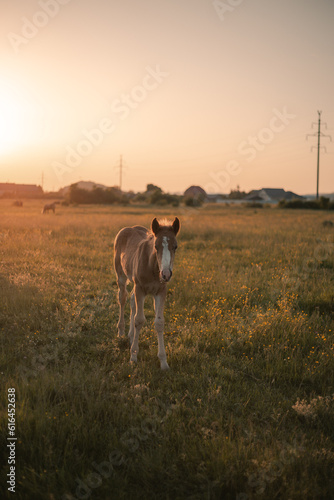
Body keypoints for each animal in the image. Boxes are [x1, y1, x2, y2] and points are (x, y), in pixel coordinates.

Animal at [115, 217, 181, 370]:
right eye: (156, 246)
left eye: (175, 246)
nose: (166, 274)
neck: (153, 268)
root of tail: (129, 228)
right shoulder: (140, 288)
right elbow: (139, 320)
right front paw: (133, 357)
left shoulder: (160, 292)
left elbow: (159, 322)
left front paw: (163, 362)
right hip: (121, 275)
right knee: (122, 298)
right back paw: (121, 332)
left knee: (132, 301)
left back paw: (131, 335)